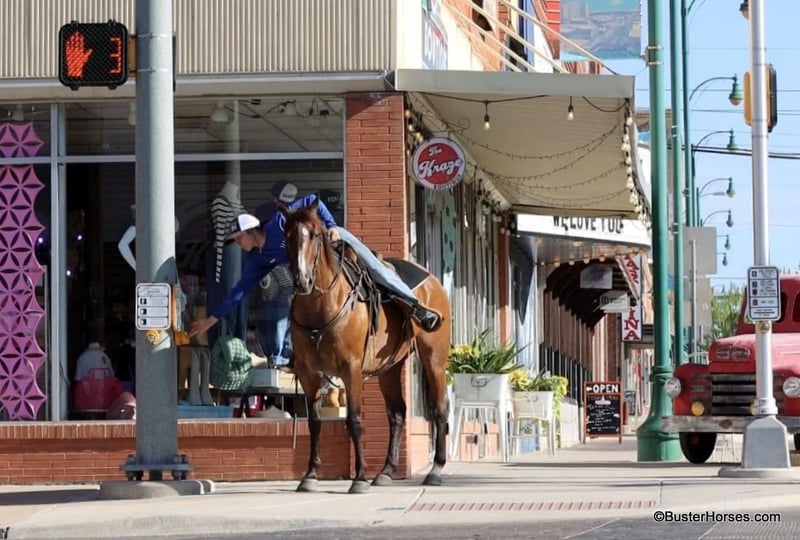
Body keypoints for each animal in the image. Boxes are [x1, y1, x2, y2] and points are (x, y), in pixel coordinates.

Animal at [279, 198, 451, 494]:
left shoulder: (351, 369)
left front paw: (359, 477)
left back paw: (435, 470)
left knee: (439, 408)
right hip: (390, 368)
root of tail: (432, 280)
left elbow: (354, 420)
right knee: (397, 414)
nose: (303, 281)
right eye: (287, 236)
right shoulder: (308, 373)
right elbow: (314, 422)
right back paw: (385, 472)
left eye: (315, 234)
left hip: (434, 360)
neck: (321, 307)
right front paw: (310, 475)